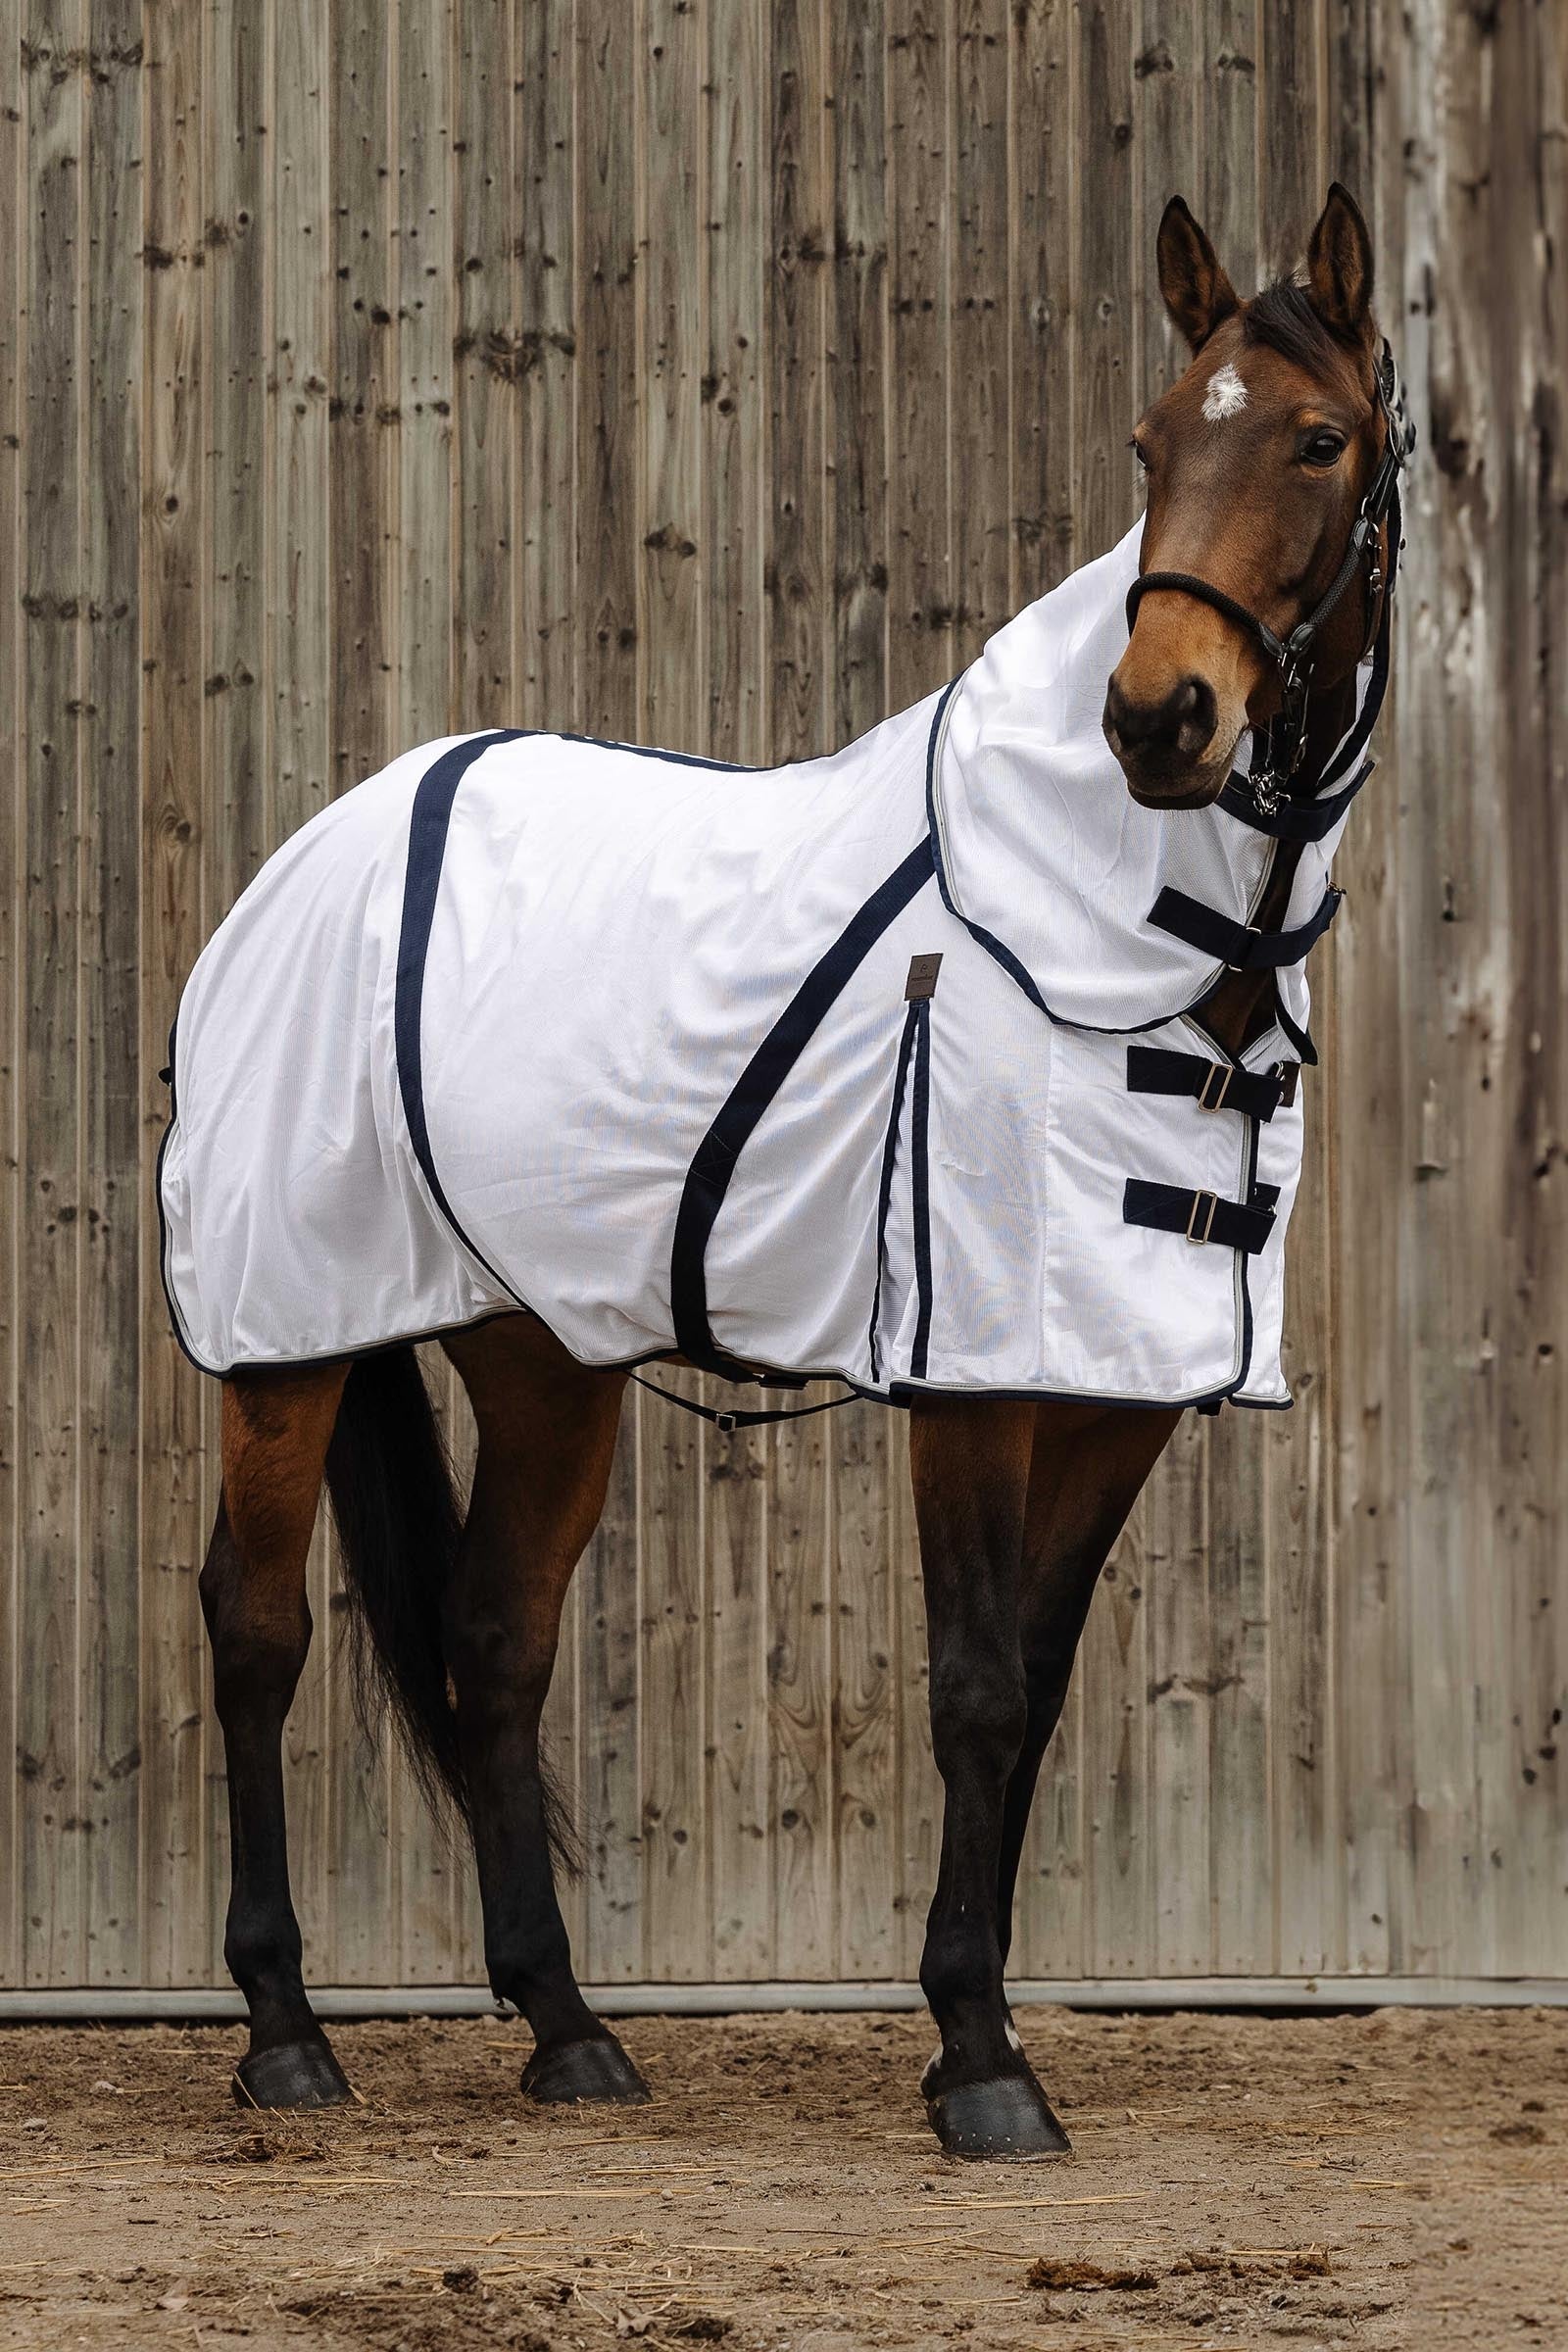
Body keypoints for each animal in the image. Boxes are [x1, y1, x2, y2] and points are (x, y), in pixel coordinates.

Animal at [181, 183, 1410, 2158]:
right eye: (1152, 443)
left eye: (1317, 439)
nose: (1160, 720)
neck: (1141, 955)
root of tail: (315, 854)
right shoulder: (972, 1381)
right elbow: (974, 1688)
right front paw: (980, 2060)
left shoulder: (1120, 1392)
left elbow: (1036, 1687)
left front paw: (980, 2024)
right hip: (285, 1343)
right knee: (257, 1628)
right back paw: (288, 2034)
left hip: (544, 1362)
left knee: (496, 1639)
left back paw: (568, 2030)